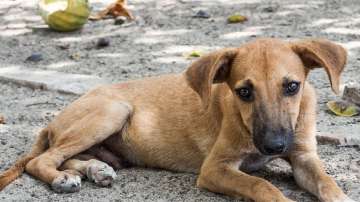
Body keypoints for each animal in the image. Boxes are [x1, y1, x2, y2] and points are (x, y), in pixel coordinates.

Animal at [0, 38, 354, 202]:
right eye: (244, 92)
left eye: (292, 86)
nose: (274, 145)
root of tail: (51, 122)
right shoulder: (215, 168)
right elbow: (261, 184)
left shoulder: (304, 157)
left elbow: (328, 182)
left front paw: (340, 195)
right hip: (113, 110)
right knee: (43, 160)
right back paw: (63, 179)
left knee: (69, 156)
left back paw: (96, 170)